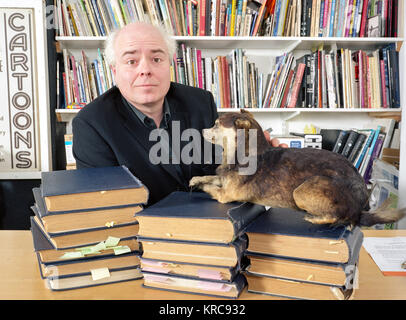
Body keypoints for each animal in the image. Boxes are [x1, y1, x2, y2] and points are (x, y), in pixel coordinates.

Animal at [190, 110, 406, 228]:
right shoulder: (223, 179)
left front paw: (199, 186)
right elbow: (210, 176)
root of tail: (360, 208)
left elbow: (211, 188)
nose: (201, 129)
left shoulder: (226, 194)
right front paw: (196, 179)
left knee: (341, 218)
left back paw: (314, 218)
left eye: (216, 124)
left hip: (301, 191)